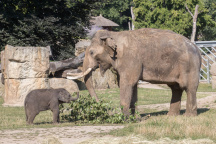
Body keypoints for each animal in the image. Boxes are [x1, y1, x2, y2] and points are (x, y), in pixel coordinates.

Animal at [67, 28, 201, 117]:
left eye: (91, 52)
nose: (102, 106)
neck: (114, 34)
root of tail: (197, 49)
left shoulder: (130, 59)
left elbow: (127, 83)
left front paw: (125, 119)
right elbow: (133, 85)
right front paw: (135, 118)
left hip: (190, 67)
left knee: (189, 88)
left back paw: (189, 116)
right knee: (176, 88)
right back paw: (171, 116)